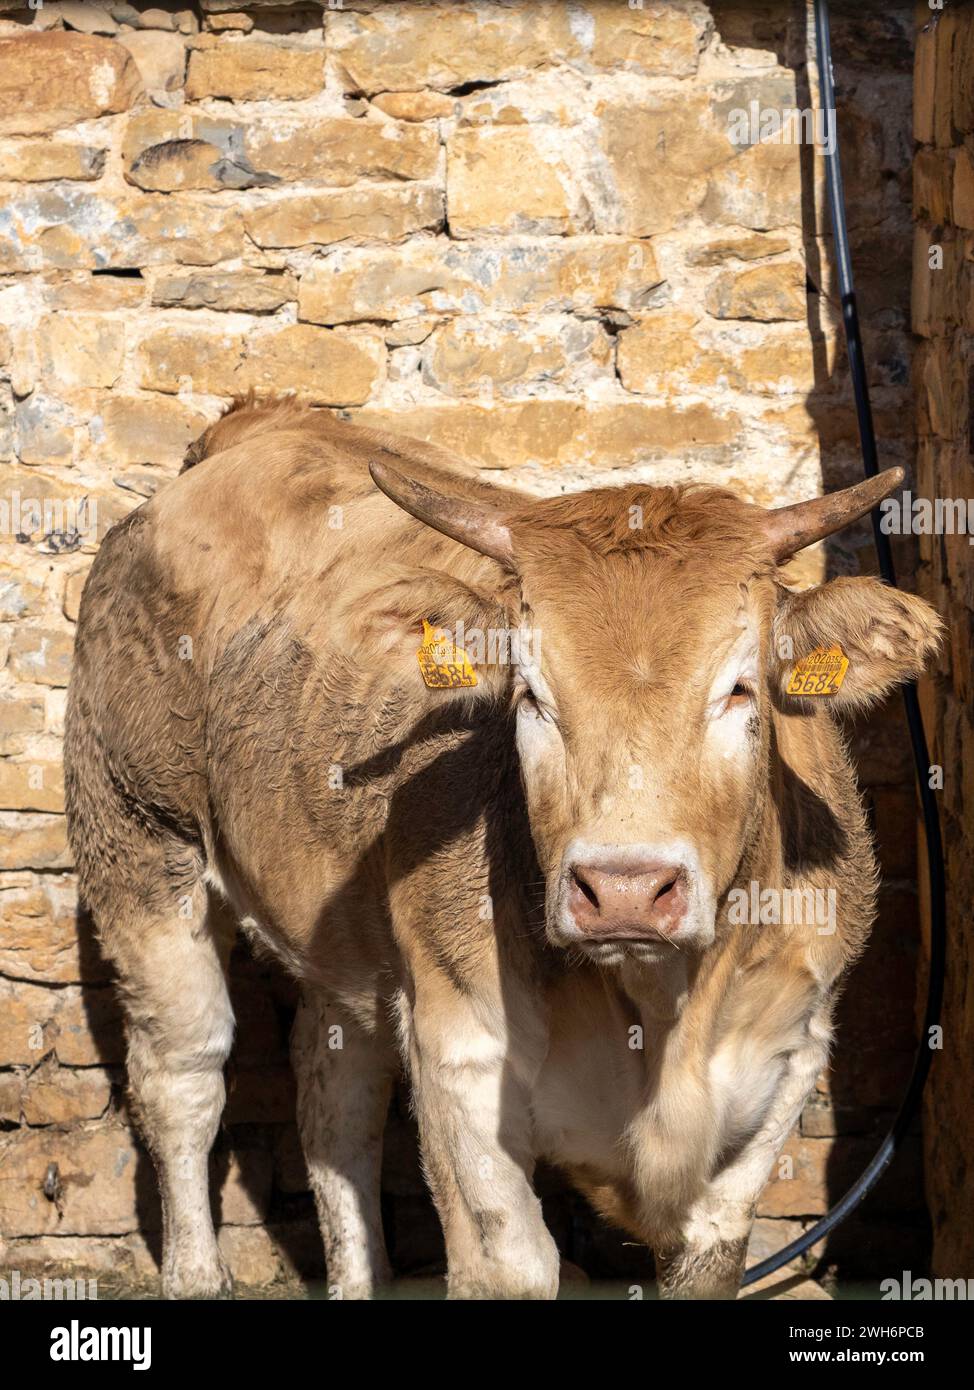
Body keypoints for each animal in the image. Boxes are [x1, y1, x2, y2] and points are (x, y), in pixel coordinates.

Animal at [64, 395, 942, 1300]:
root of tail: (254, 430)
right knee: (184, 1077)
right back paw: (195, 1271)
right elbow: (510, 1261)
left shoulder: (784, 1063)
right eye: (529, 695)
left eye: (739, 689)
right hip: (138, 843)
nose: (625, 891)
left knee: (336, 1098)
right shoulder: (460, 1049)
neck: (662, 1011)